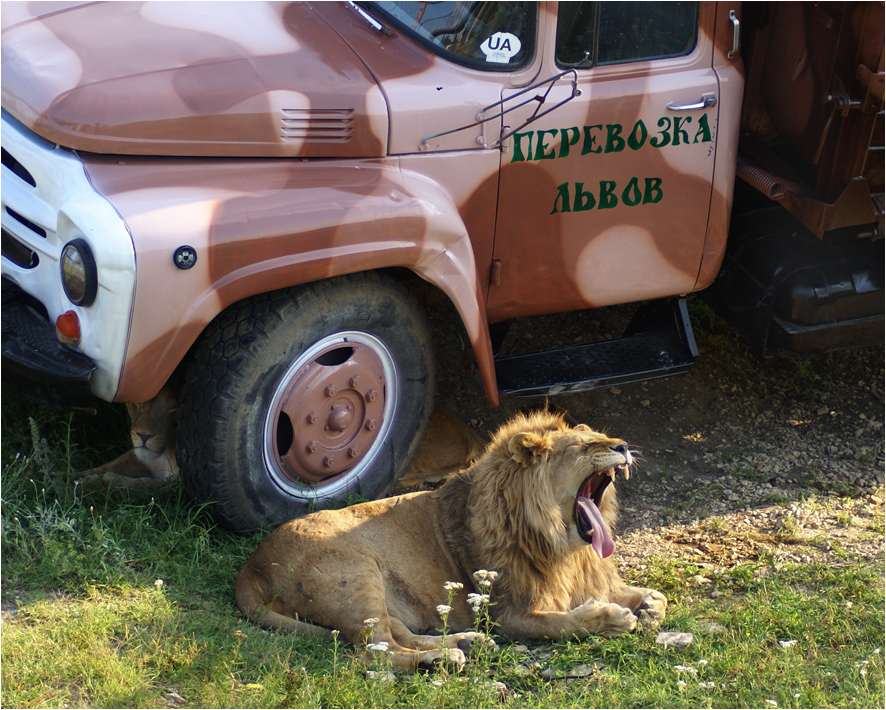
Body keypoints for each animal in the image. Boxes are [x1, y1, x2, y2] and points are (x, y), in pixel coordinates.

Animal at [236, 408, 664, 672]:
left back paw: (464, 644)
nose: (623, 446)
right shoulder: (509, 614)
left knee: (397, 635)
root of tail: (250, 565)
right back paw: (442, 660)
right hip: (354, 573)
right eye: (586, 446)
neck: (566, 547)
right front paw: (611, 618)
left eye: (605, 437)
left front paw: (648, 604)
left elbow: (653, 596)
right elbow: (561, 623)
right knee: (376, 653)